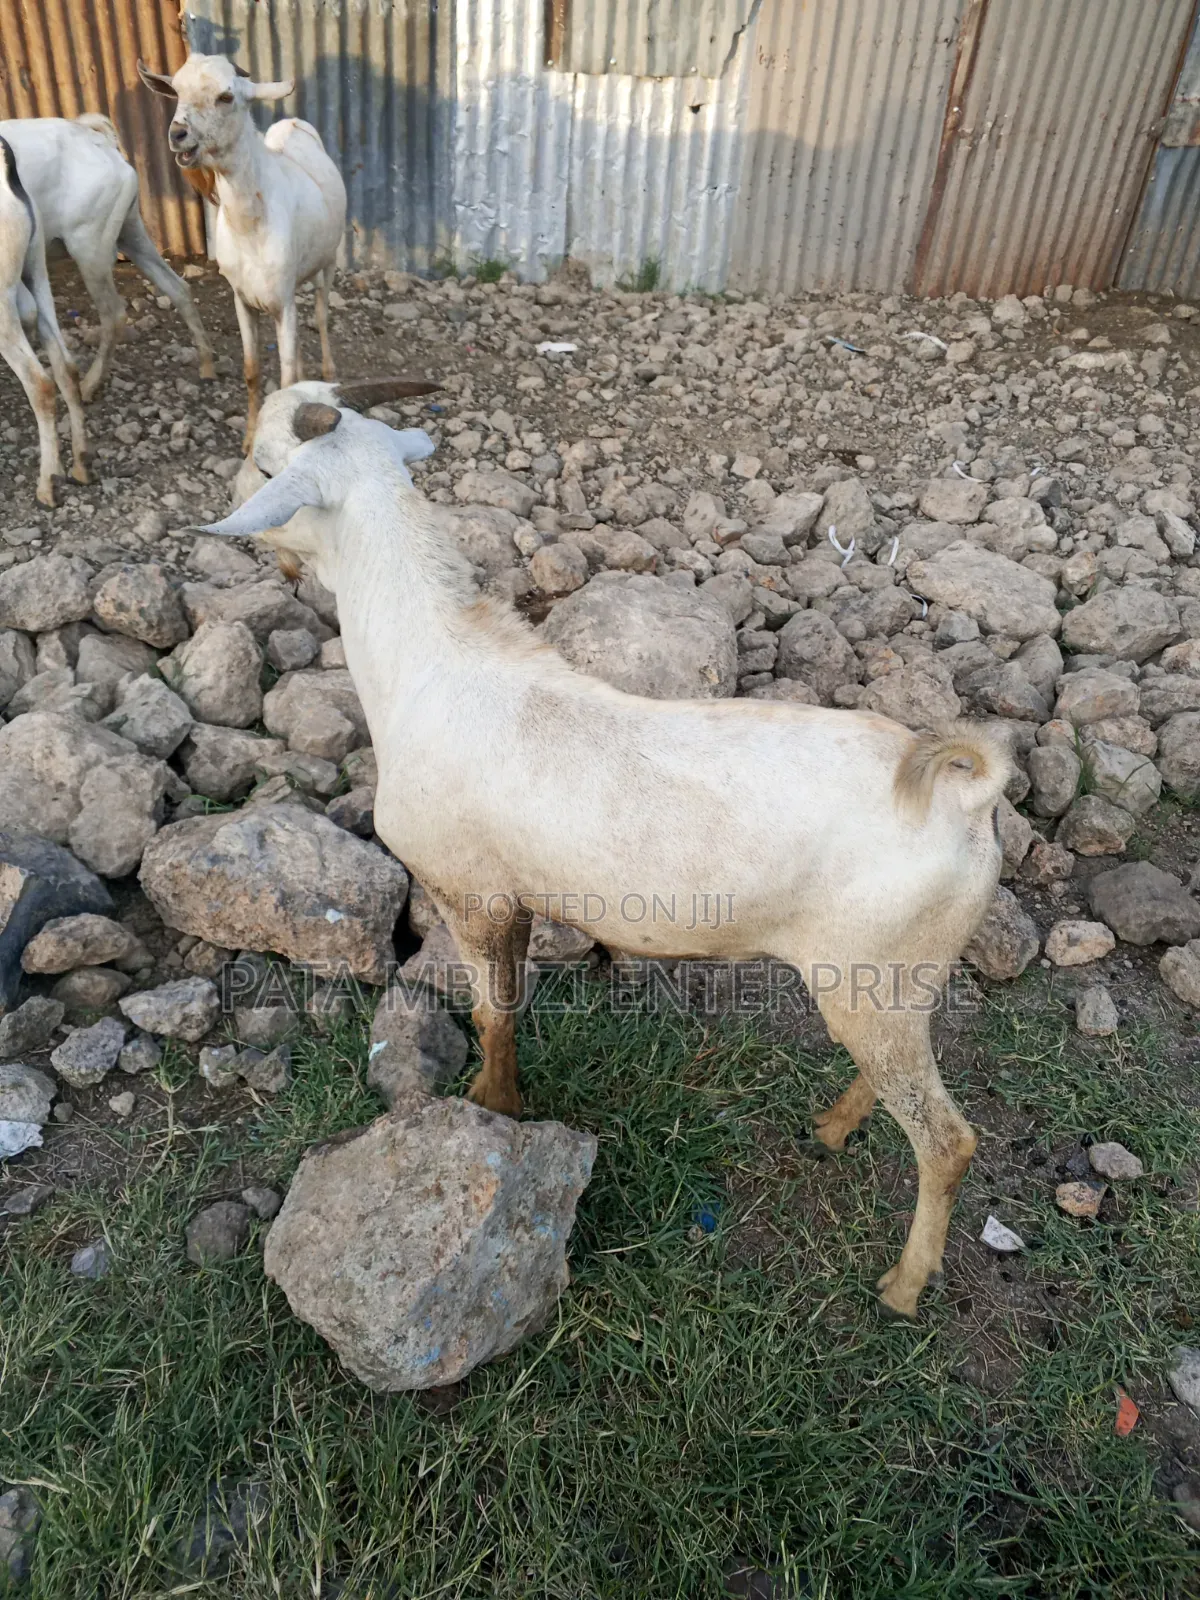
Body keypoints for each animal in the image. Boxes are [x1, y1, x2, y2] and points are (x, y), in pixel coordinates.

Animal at [0, 115, 214, 399]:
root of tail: (93, 137)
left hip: (89, 248)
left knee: (113, 315)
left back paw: (90, 384)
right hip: (130, 231)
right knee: (177, 287)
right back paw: (206, 364)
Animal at [138, 54, 346, 447]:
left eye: (226, 96)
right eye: (177, 91)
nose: (177, 135)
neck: (251, 227)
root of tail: (293, 123)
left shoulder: (282, 300)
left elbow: (286, 377)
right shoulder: (243, 298)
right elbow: (252, 370)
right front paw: (249, 439)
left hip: (328, 262)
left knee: (323, 316)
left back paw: (329, 372)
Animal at [199, 384, 1011, 1320]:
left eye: (266, 465)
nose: (233, 494)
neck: (431, 668)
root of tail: (965, 798)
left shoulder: (466, 889)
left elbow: (491, 1013)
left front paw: (490, 1108)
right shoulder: (515, 895)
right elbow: (510, 1004)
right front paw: (506, 1099)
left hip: (871, 968)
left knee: (948, 1141)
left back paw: (905, 1284)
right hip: (895, 979)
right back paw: (834, 1127)